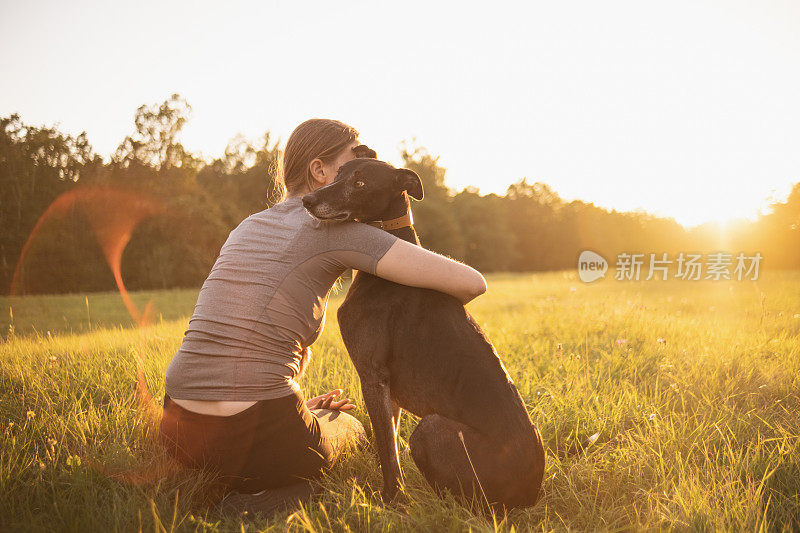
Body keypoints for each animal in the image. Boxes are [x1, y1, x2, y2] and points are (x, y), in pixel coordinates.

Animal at [304, 156, 548, 510]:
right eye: (339, 174)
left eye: (361, 183)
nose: (307, 201)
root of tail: (529, 496)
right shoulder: (388, 389)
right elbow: (389, 442)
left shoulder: (372, 375)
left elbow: (387, 451)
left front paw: (391, 501)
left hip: (430, 428)